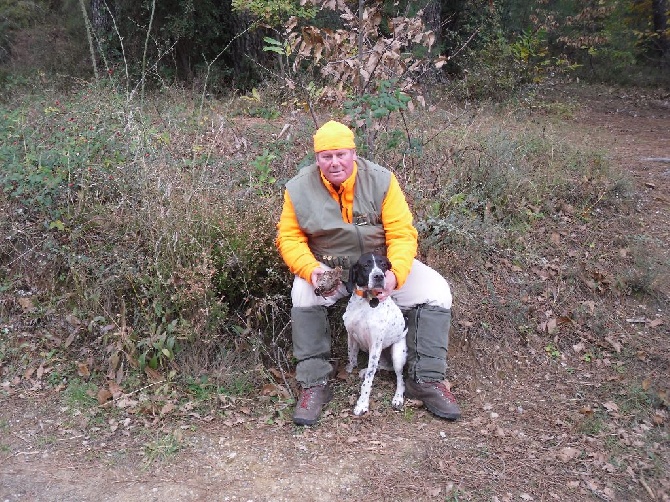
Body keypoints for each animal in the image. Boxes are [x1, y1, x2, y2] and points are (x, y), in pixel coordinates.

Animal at [346, 251, 410, 416]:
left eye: (383, 264)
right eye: (365, 265)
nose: (379, 276)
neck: (365, 302)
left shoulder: (375, 345)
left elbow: (368, 381)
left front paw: (362, 404)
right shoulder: (351, 336)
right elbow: (352, 358)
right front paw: (350, 369)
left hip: (397, 355)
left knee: (400, 379)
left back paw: (398, 398)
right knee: (381, 366)